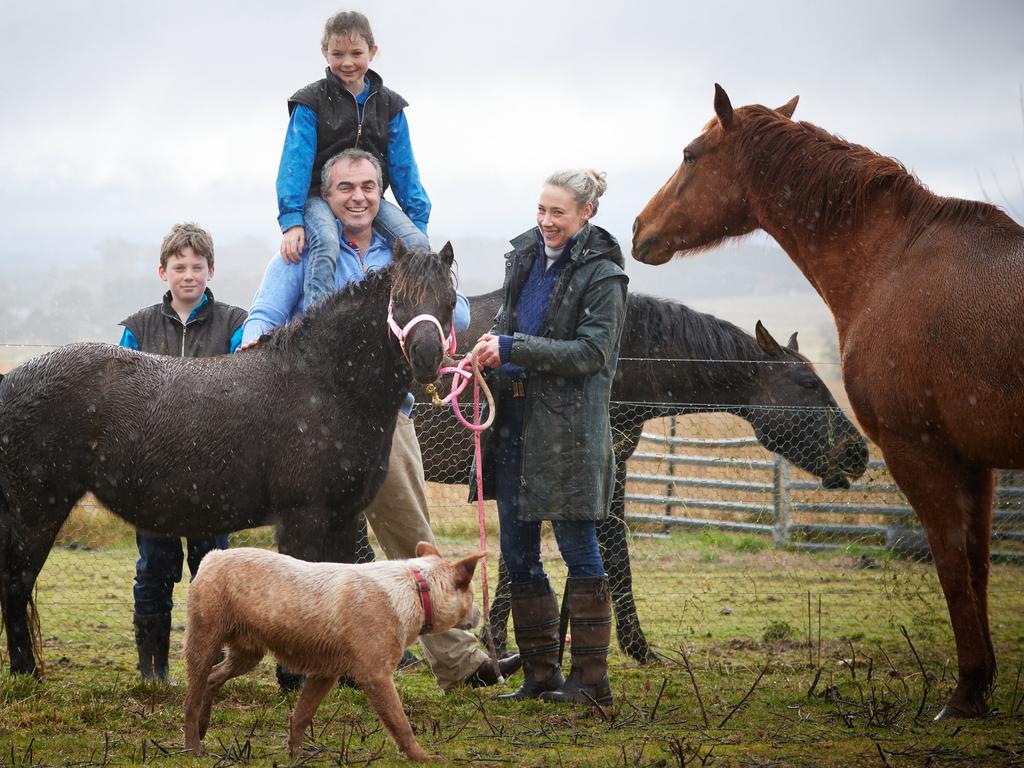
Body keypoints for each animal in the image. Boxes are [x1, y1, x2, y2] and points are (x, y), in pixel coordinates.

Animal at [0, 243, 458, 675]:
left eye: (450, 300)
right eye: (399, 299)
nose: (427, 358)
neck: (325, 384)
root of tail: (11, 379)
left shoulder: (343, 517)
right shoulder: (304, 517)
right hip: (36, 509)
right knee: (16, 584)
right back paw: (27, 674)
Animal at [183, 540, 483, 765]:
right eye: (471, 591)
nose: (480, 614)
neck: (417, 590)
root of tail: (213, 556)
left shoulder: (325, 674)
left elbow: (302, 715)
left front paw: (296, 753)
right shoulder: (376, 675)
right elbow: (400, 723)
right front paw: (423, 757)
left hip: (247, 654)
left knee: (213, 677)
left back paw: (204, 726)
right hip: (205, 640)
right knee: (192, 698)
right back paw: (193, 746)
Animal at [630, 85, 1024, 720]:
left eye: (690, 154)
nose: (639, 228)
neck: (893, 262)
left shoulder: (920, 452)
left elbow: (951, 564)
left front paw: (965, 694)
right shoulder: (975, 461)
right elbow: (978, 564)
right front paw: (980, 687)